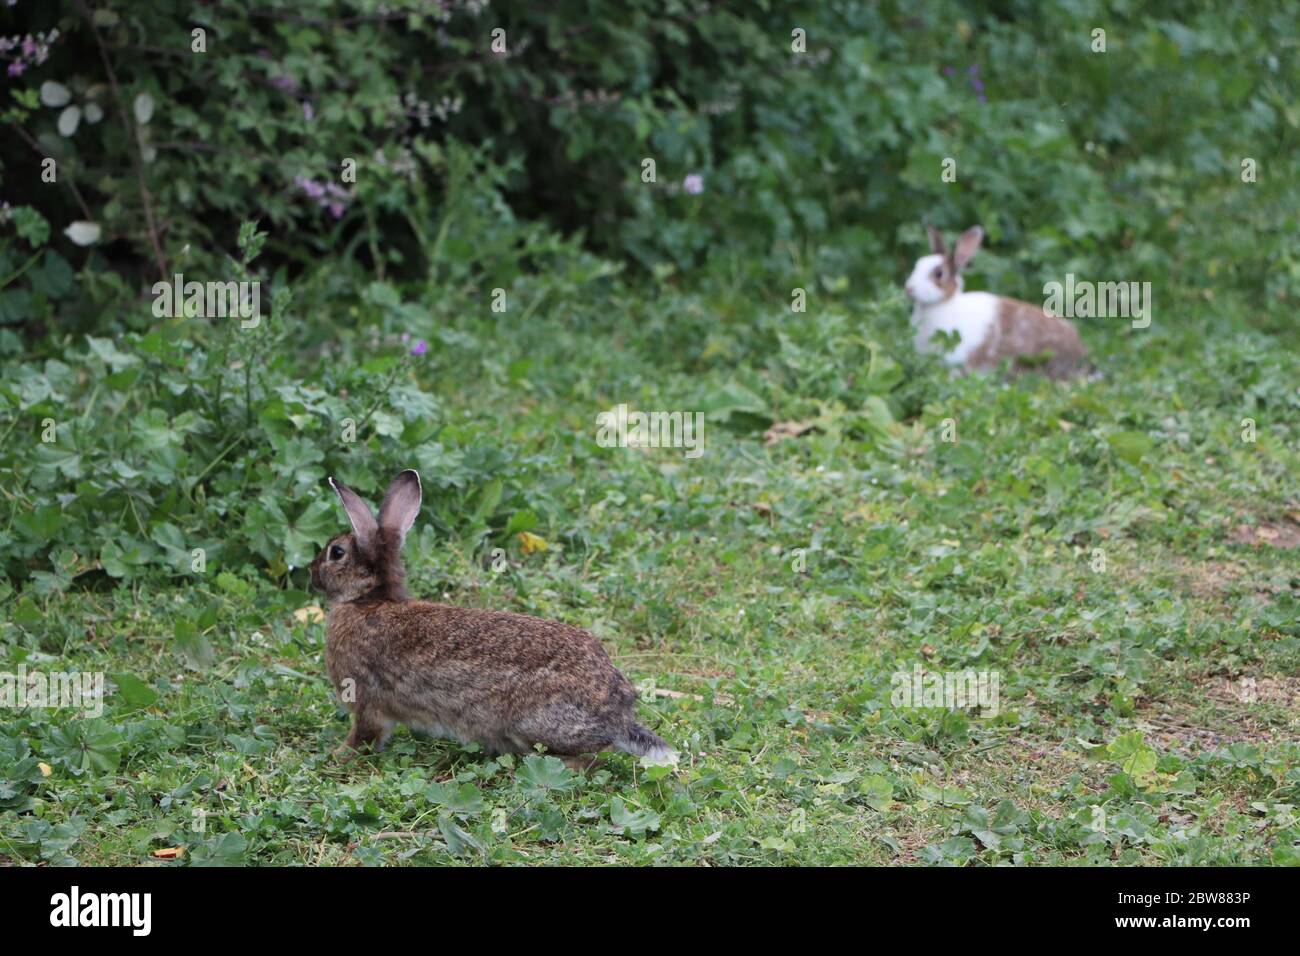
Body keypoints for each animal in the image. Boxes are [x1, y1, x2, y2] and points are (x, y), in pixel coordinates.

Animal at [308, 468, 676, 764]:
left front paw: (337, 756)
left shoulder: (366, 702)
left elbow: (364, 735)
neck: (369, 601)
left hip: (533, 725)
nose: (311, 574)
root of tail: (618, 716)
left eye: (336, 553)